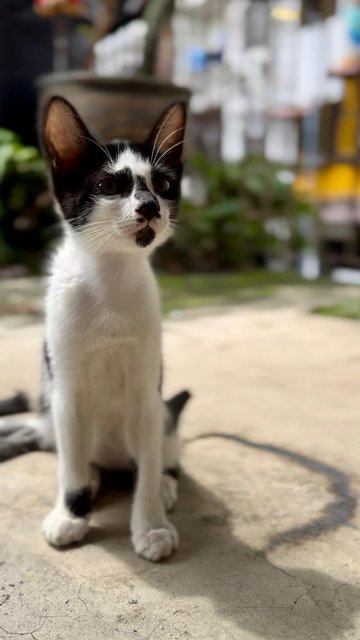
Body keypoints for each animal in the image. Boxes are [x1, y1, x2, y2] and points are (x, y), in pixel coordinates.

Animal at [0, 97, 191, 564]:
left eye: (163, 184)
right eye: (108, 186)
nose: (149, 206)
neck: (111, 280)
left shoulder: (147, 395)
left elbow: (148, 464)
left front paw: (151, 524)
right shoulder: (66, 393)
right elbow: (69, 464)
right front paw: (71, 513)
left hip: (162, 414)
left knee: (159, 454)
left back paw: (163, 483)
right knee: (82, 456)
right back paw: (91, 478)